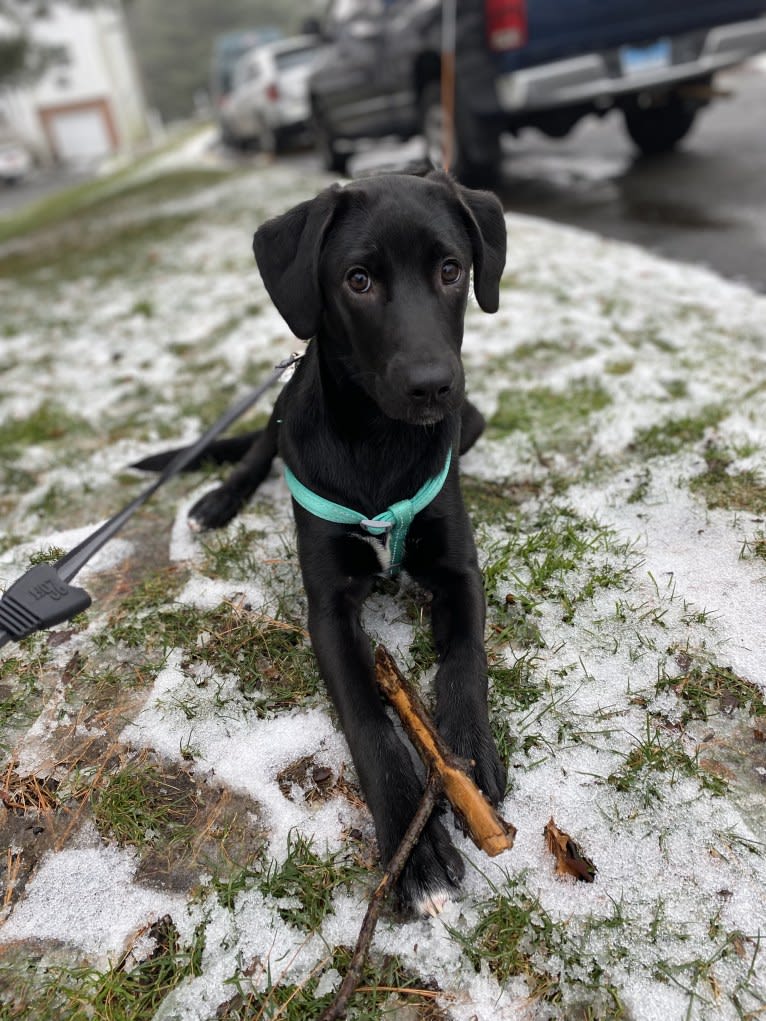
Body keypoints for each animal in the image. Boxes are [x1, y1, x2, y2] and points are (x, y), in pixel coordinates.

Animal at [142, 171, 510, 914]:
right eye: (358, 280)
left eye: (451, 269)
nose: (432, 385)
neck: (379, 443)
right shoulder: (329, 607)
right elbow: (367, 717)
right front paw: (411, 842)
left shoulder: (460, 569)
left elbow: (466, 658)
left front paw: (467, 749)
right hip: (282, 402)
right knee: (257, 450)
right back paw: (219, 500)